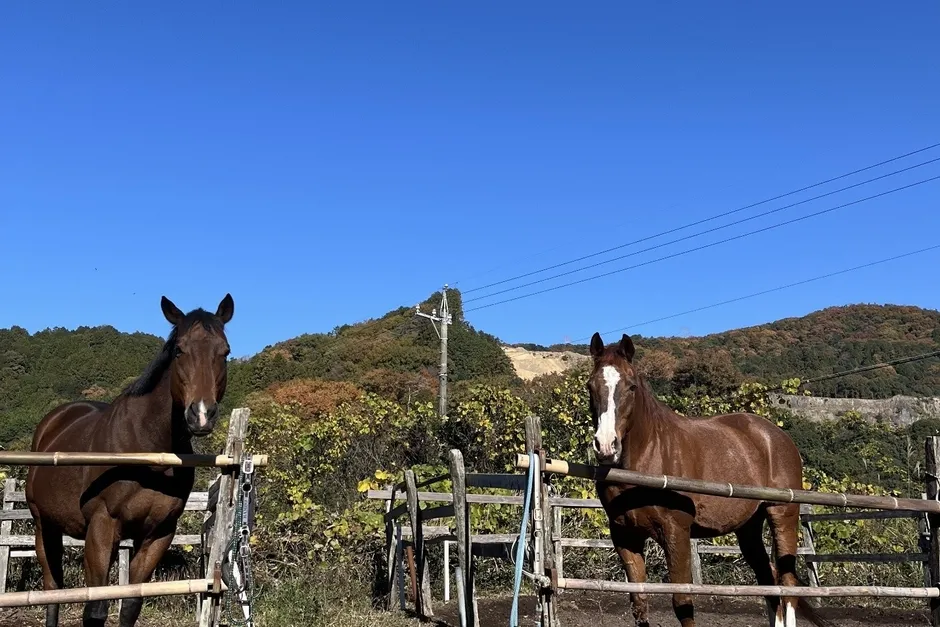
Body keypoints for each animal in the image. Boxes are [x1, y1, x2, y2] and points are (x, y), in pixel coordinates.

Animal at [25, 294, 235, 627]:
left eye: (224, 351)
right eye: (179, 350)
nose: (201, 414)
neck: (147, 451)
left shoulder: (158, 534)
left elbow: (131, 605)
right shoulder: (101, 527)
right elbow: (95, 608)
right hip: (45, 526)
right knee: (52, 590)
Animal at [585, 332, 829, 627]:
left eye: (631, 387)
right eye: (590, 386)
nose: (606, 446)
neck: (647, 459)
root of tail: (777, 436)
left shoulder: (676, 532)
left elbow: (683, 603)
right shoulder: (625, 536)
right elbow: (639, 603)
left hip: (783, 515)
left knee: (788, 586)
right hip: (748, 528)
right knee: (768, 583)